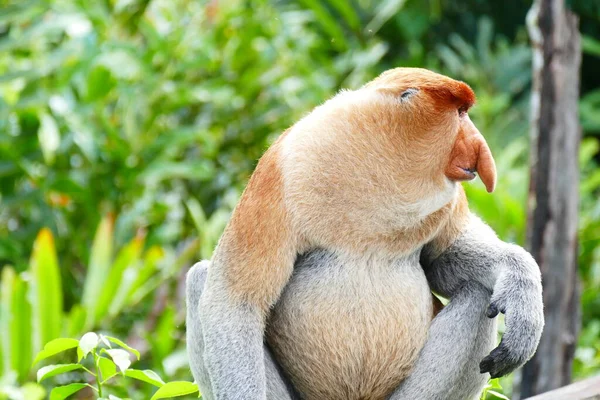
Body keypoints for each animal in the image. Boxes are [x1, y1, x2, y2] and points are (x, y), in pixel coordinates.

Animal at [185, 69, 548, 400]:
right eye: (460, 113)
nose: (479, 146)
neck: (381, 161)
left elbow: (443, 258)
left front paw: (522, 292)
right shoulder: (280, 171)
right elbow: (236, 299)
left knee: (477, 295)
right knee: (200, 279)